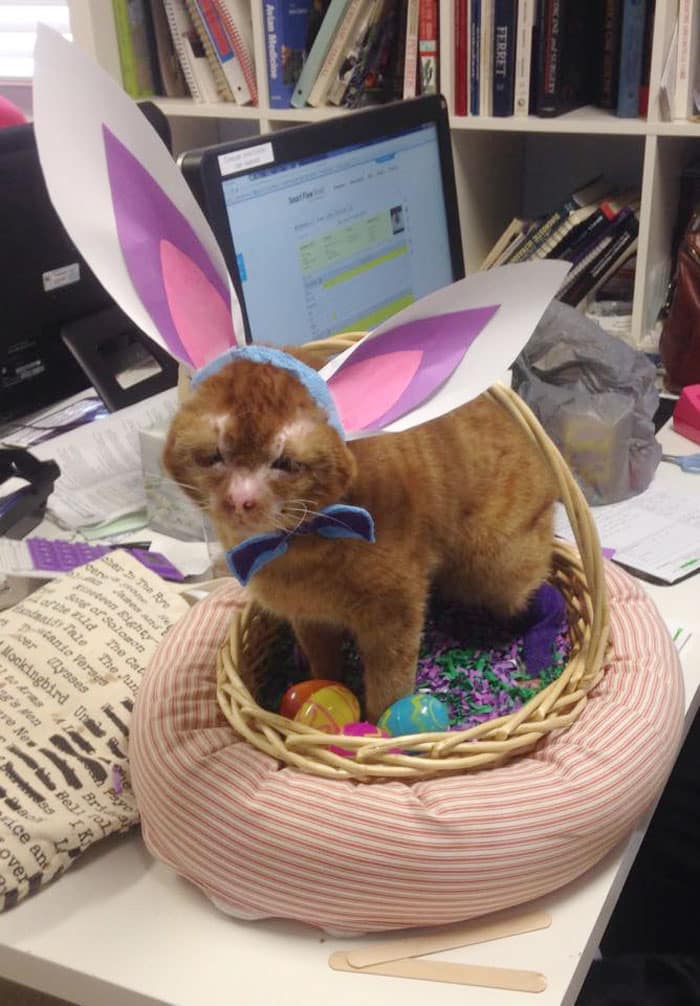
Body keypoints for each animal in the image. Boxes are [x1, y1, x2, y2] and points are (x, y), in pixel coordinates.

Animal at [164, 350, 559, 720]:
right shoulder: (308, 618)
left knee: (538, 597)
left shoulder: (395, 615)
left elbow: (389, 687)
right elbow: (324, 665)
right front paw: (326, 687)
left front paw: (378, 732)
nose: (240, 500)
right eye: (214, 456)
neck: (289, 553)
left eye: (286, 463)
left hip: (499, 571)